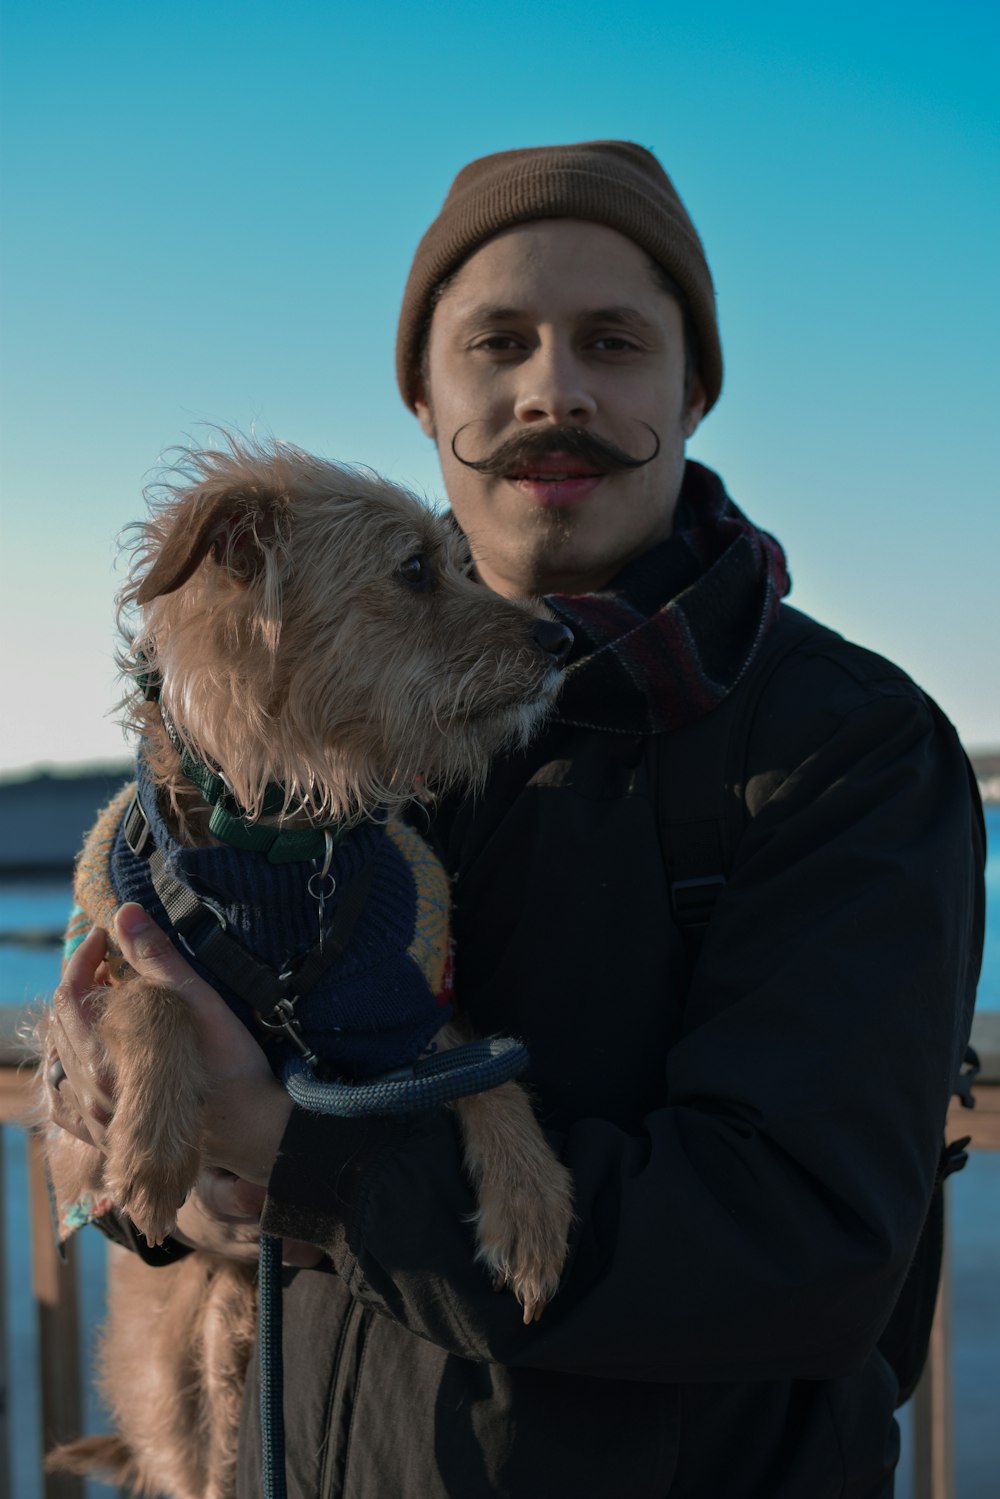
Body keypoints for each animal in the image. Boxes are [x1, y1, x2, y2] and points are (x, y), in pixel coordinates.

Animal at [41, 437, 569, 1499]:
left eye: (459, 565)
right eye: (415, 569)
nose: (565, 636)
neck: (285, 844)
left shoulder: (406, 1006)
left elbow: (488, 1067)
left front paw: (530, 1201)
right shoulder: (91, 995)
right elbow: (154, 993)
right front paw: (152, 1136)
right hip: (188, 1370)